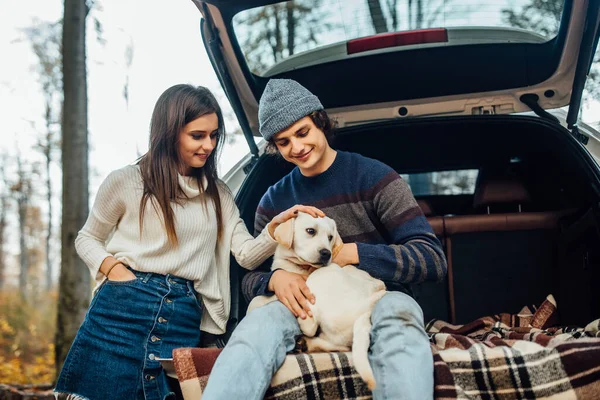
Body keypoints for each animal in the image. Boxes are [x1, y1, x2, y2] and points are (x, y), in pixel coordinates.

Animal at [247, 212, 384, 390]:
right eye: (310, 231)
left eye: (330, 237)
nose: (327, 253)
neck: (298, 266)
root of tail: (366, 311)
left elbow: (256, 301)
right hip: (338, 336)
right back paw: (305, 343)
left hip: (324, 275)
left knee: (310, 324)